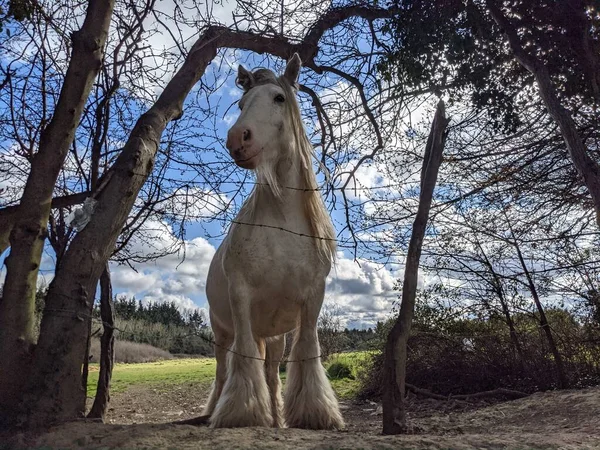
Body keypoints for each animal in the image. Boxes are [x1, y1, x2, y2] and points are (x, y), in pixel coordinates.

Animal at [202, 53, 344, 428]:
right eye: (241, 104)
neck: (281, 223)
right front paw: (241, 413)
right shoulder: (240, 299)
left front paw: (315, 413)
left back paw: (277, 418)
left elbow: (306, 351)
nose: (238, 138)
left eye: (279, 98)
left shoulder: (312, 298)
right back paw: (212, 410)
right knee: (222, 369)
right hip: (222, 331)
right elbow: (243, 358)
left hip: (275, 335)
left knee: (269, 372)